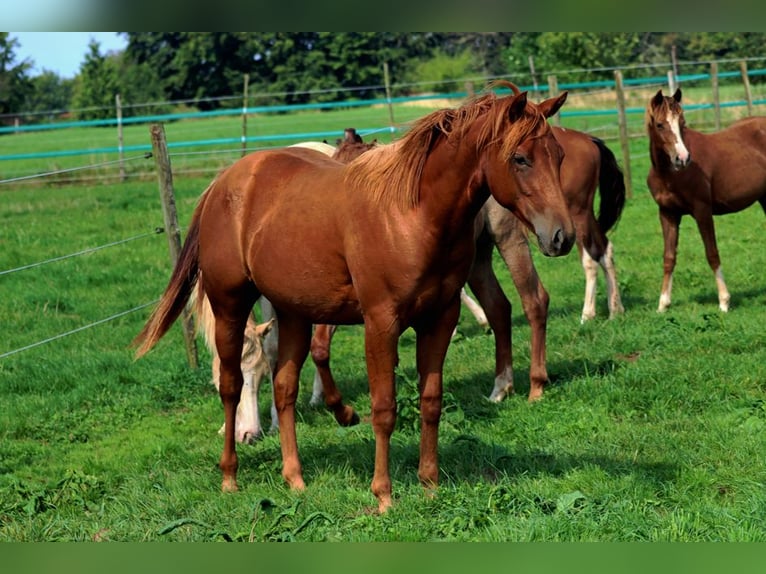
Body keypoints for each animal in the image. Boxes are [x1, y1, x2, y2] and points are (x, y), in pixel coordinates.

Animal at [134, 80, 576, 512]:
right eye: (520, 158)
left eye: (558, 155)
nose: (562, 236)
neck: (411, 214)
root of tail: (223, 183)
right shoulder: (380, 324)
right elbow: (384, 408)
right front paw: (383, 494)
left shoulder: (439, 318)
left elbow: (431, 400)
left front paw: (429, 484)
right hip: (231, 306)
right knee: (230, 385)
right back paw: (230, 476)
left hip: (294, 313)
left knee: (284, 388)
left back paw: (294, 478)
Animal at [648, 89, 766, 316]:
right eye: (659, 124)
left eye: (682, 123)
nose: (682, 158)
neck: (669, 174)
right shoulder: (667, 213)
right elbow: (669, 257)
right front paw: (663, 304)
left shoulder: (702, 211)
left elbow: (712, 253)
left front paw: (724, 302)